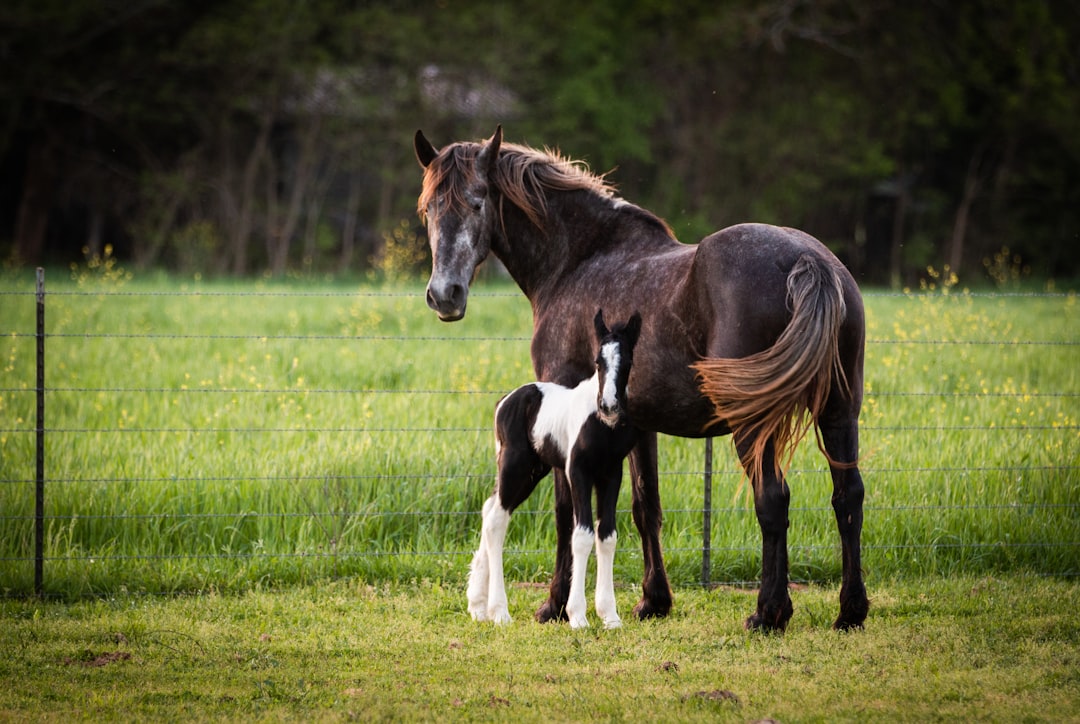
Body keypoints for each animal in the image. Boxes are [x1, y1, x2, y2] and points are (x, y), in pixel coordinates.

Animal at [466, 309, 639, 626]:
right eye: (598, 361)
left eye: (628, 362)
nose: (609, 406)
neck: (601, 425)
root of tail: (504, 401)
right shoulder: (577, 472)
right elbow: (581, 535)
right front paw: (577, 615)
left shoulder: (611, 473)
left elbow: (607, 536)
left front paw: (610, 616)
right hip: (515, 467)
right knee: (496, 518)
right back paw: (499, 611)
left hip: (531, 472)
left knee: (488, 508)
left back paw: (478, 606)